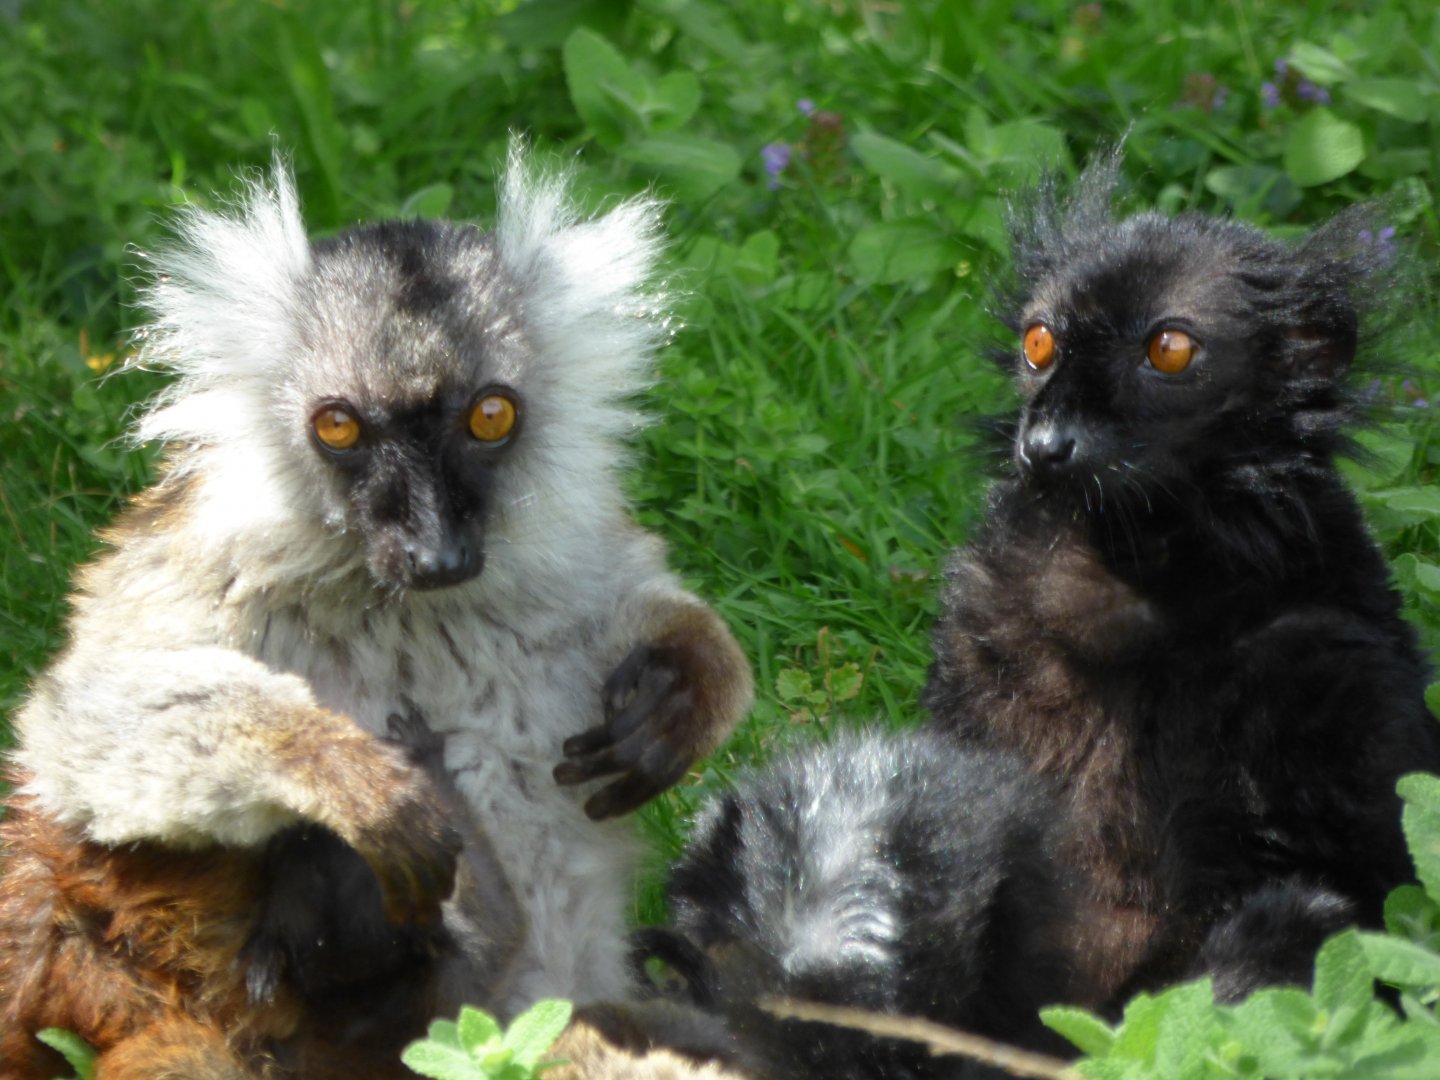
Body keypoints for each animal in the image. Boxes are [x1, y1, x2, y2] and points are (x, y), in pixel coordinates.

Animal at [0, 147, 752, 1074]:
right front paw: (340, 771)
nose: (436, 555)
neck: (404, 607)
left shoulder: (568, 567)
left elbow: (638, 602)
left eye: (490, 415)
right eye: (339, 428)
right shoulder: (203, 570)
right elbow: (81, 727)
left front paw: (686, 682)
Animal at [921, 153, 1440, 1007]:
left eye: (1168, 349)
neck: (1137, 566)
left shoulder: (1334, 670)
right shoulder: (978, 631)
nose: (1046, 442)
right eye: (1039, 341)